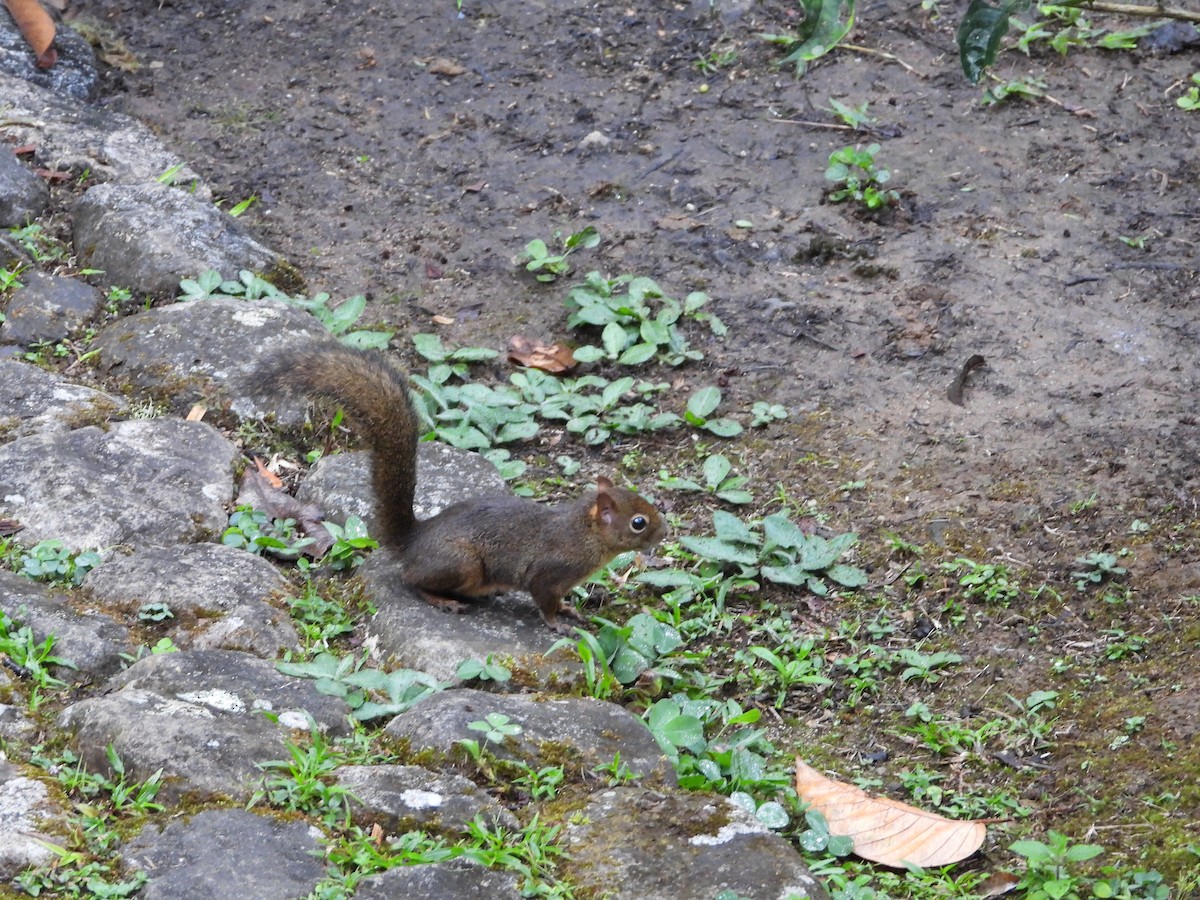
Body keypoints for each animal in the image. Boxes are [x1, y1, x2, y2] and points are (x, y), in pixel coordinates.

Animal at [256, 345, 668, 632]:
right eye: (638, 523)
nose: (665, 532)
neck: (583, 534)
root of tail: (413, 541)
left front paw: (570, 609)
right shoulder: (549, 573)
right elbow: (544, 601)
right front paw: (557, 623)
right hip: (462, 563)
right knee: (410, 580)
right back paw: (444, 600)